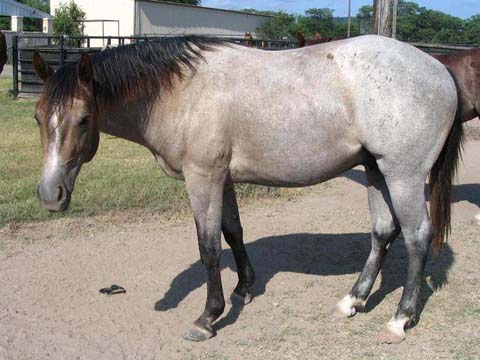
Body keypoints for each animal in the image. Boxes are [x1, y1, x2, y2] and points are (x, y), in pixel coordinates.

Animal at [32, 35, 462, 344]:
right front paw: (244, 287)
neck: (181, 93)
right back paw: (352, 300)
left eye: (83, 119)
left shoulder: (202, 178)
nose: (50, 195)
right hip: (375, 170)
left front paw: (208, 317)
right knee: (383, 232)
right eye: (38, 117)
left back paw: (400, 319)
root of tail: (439, 69)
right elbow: (233, 232)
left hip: (403, 175)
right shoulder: (223, 179)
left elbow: (208, 246)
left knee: (416, 237)